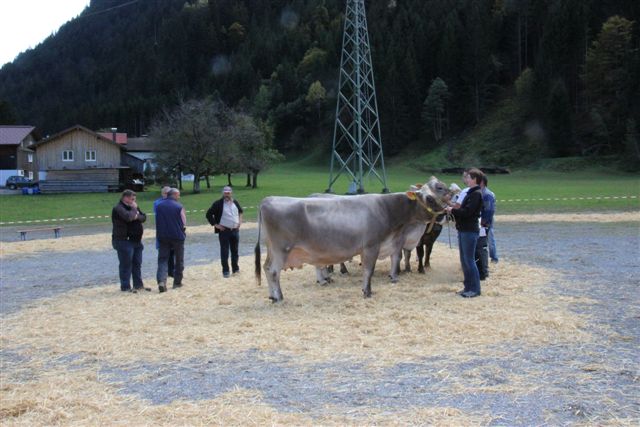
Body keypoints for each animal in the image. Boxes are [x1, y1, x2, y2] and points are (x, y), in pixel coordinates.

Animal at [254, 177, 451, 301]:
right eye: (429, 198)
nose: (445, 213)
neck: (386, 209)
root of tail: (267, 200)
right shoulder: (372, 245)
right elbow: (369, 270)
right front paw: (367, 292)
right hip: (281, 249)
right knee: (273, 271)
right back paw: (279, 297)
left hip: (271, 249)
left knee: (265, 268)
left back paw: (272, 295)